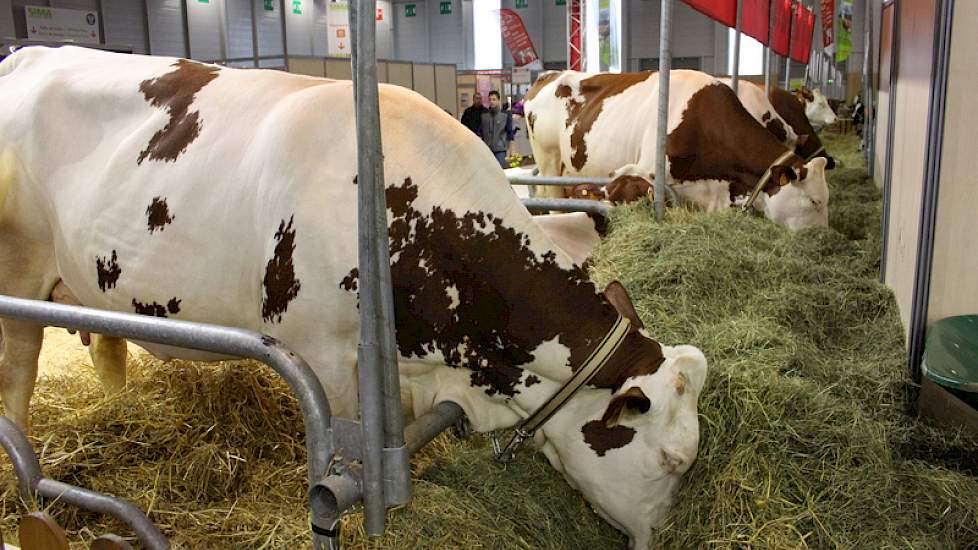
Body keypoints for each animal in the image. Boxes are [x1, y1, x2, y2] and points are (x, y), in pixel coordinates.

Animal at [0, 46, 704, 548]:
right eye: (672, 460)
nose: (658, 540)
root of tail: (27, 53)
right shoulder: (327, 361)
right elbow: (345, 469)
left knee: (106, 351)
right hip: (20, 268)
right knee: (19, 369)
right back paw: (25, 478)